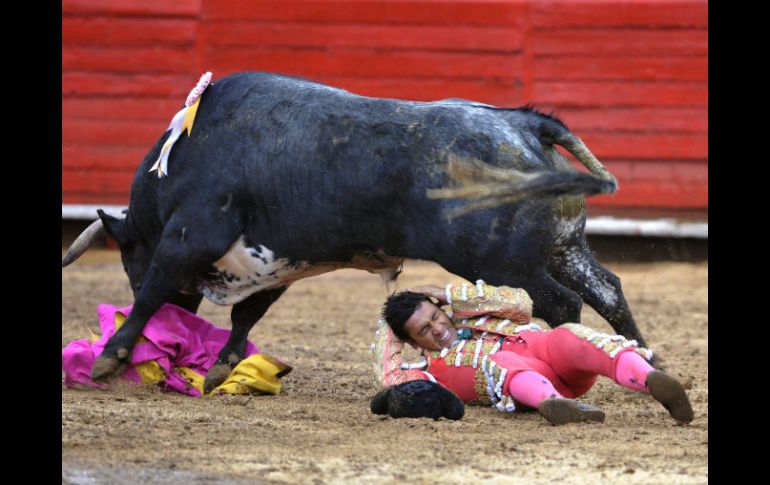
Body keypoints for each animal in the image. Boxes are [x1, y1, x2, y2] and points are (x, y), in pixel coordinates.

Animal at [63, 72, 644, 396]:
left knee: (561, 303)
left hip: (499, 261)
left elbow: (156, 289)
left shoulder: (191, 234)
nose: (179, 321)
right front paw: (220, 369)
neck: (184, 156)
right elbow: (247, 314)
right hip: (563, 246)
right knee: (607, 289)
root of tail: (525, 124)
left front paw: (111, 359)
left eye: (128, 259)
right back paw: (641, 355)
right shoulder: (277, 262)